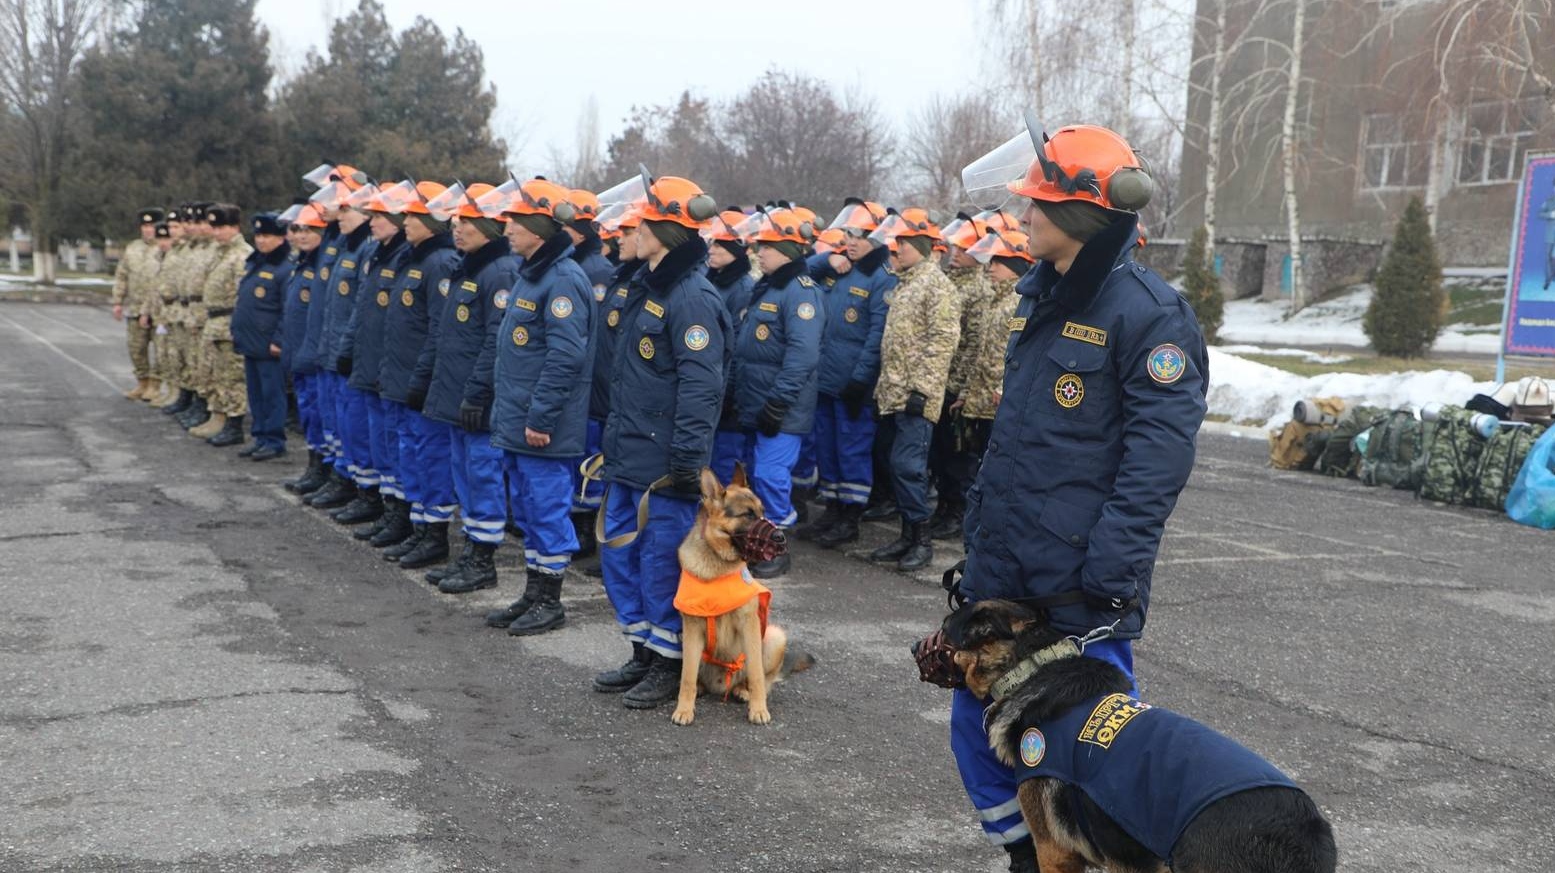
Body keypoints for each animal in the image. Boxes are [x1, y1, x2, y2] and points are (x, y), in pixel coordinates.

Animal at [671, 466, 814, 725]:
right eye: (747, 515)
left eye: (763, 512)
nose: (781, 538)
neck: (717, 565)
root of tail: (720, 686)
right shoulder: (692, 629)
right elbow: (687, 678)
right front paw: (684, 710)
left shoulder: (750, 625)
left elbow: (757, 675)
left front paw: (758, 709)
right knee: (696, 678)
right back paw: (703, 688)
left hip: (774, 637)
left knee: (762, 680)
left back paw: (743, 692)